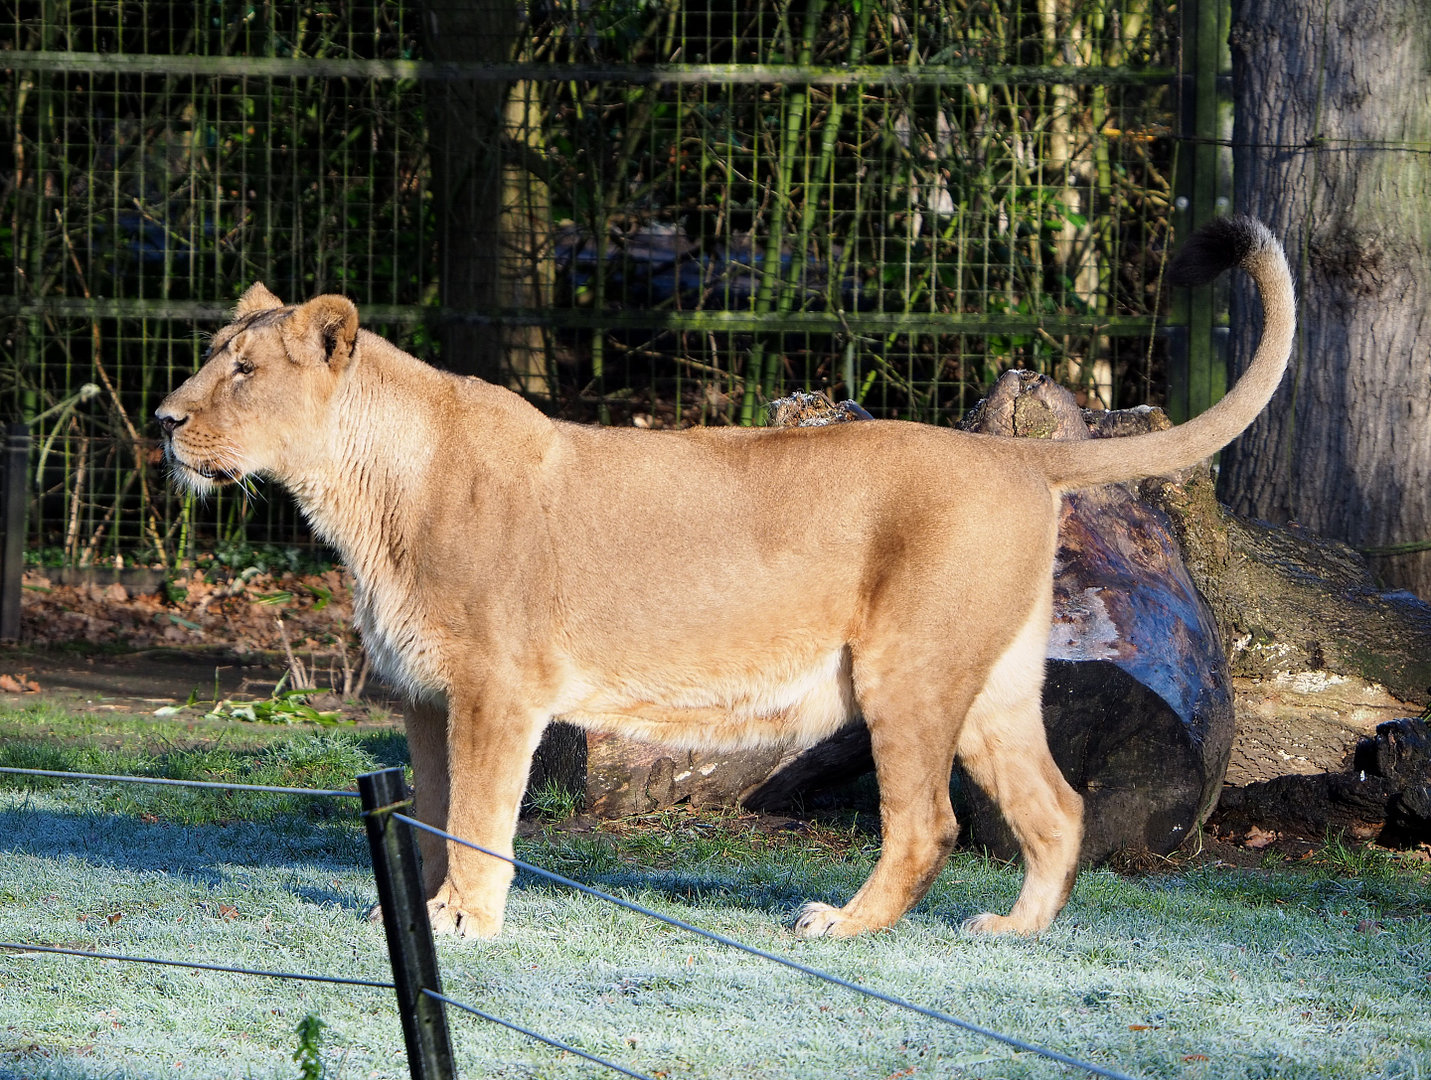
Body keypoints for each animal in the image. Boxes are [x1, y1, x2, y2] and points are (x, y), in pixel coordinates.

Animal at [157, 215, 1294, 940]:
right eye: (213, 355)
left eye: (243, 372)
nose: (165, 420)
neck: (361, 494)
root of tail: (1017, 457)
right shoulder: (429, 698)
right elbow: (435, 818)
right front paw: (422, 916)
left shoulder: (497, 692)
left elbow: (480, 820)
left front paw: (466, 923)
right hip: (995, 682)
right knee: (1055, 809)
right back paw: (1013, 931)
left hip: (906, 671)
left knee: (926, 824)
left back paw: (841, 925)